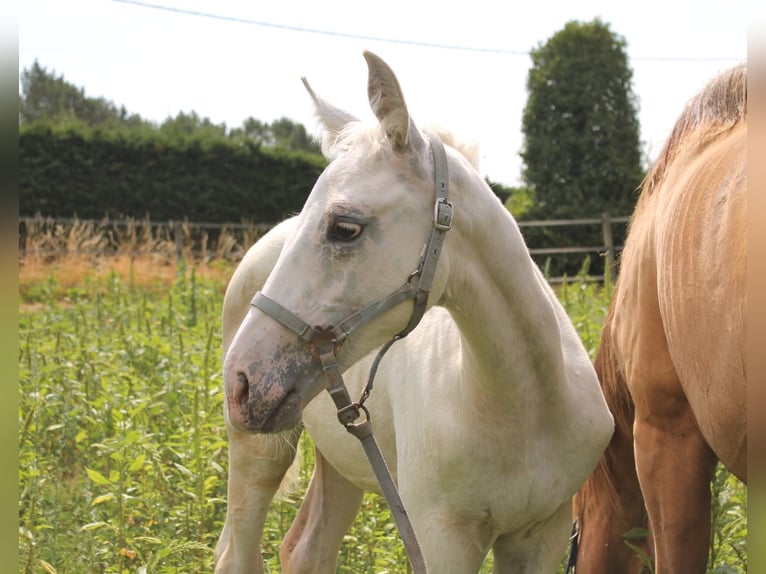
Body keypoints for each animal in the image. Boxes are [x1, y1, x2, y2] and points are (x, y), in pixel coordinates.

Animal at [214, 51, 614, 574]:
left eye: (345, 227)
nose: (241, 380)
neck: (522, 409)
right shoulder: (441, 538)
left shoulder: (542, 533)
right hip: (258, 451)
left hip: (341, 454)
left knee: (306, 548)